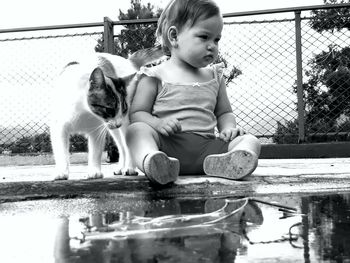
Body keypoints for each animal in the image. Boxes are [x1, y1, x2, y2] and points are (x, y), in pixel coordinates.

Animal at [50, 46, 164, 180]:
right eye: (109, 109)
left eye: (124, 109)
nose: (119, 123)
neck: (83, 112)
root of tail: (128, 61)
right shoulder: (59, 128)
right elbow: (61, 152)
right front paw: (61, 172)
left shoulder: (97, 130)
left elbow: (95, 152)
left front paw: (94, 171)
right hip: (113, 128)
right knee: (122, 147)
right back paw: (121, 168)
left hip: (124, 123)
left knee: (127, 145)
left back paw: (129, 168)